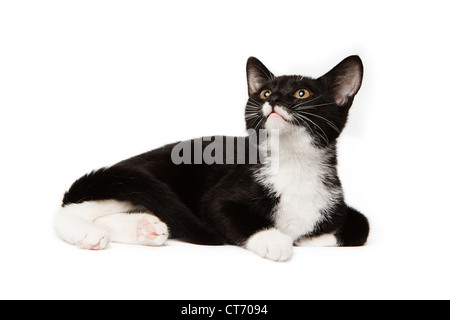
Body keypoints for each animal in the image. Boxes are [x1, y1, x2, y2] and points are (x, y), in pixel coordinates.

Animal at [53, 55, 370, 260]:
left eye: (302, 93)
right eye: (265, 92)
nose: (274, 100)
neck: (293, 162)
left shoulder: (334, 201)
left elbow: (362, 225)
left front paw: (315, 238)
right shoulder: (219, 198)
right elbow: (229, 213)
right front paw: (274, 240)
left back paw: (145, 228)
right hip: (149, 179)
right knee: (74, 208)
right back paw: (88, 233)